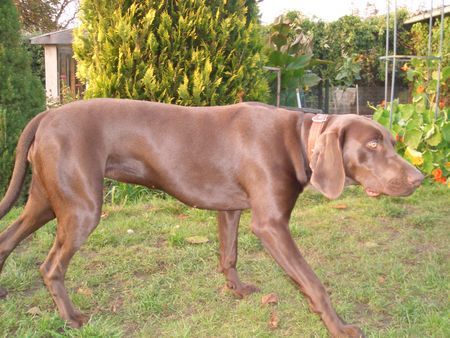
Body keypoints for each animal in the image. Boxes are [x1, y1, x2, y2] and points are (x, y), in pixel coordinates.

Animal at [0, 99, 422, 336]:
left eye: (392, 142)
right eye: (372, 144)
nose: (418, 178)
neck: (299, 141)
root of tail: (47, 116)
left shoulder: (230, 210)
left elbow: (228, 256)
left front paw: (236, 290)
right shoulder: (271, 225)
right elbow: (314, 284)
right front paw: (340, 327)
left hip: (46, 200)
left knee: (7, 239)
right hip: (82, 208)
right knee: (50, 266)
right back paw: (72, 319)